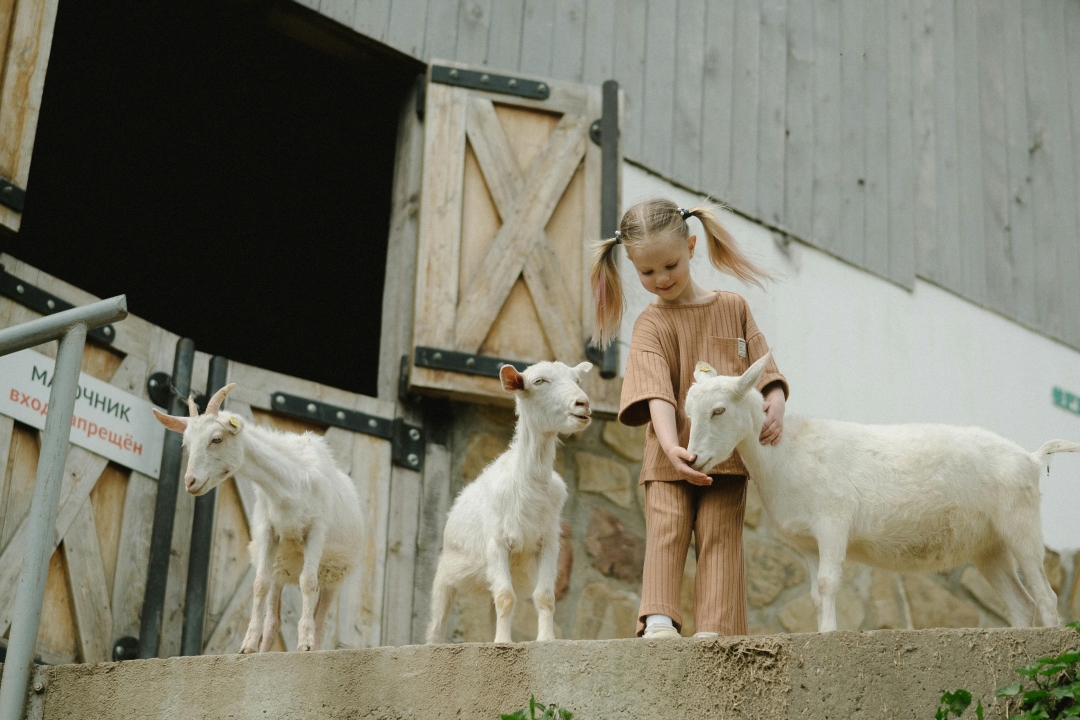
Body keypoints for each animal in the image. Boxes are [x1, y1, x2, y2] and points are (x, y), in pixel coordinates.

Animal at [153, 388, 362, 651]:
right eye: (187, 444)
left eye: (217, 439)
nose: (190, 482)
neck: (290, 484)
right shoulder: (268, 532)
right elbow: (259, 584)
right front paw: (248, 646)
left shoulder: (316, 531)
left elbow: (307, 582)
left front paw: (304, 643)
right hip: (282, 565)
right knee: (274, 618)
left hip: (335, 570)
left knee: (321, 617)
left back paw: (313, 643)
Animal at [427, 362, 596, 643]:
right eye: (538, 381)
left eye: (577, 380)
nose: (582, 404)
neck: (528, 484)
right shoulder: (497, 542)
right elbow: (506, 597)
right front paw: (503, 643)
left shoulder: (548, 541)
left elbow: (545, 596)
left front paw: (546, 639)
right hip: (446, 571)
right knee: (437, 621)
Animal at [686, 354, 1075, 630]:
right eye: (689, 412)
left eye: (719, 410)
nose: (693, 458)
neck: (787, 453)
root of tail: (1031, 458)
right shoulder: (806, 541)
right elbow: (814, 594)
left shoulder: (833, 521)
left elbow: (828, 584)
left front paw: (829, 634)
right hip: (989, 545)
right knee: (1020, 603)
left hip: (1020, 523)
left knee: (1046, 596)